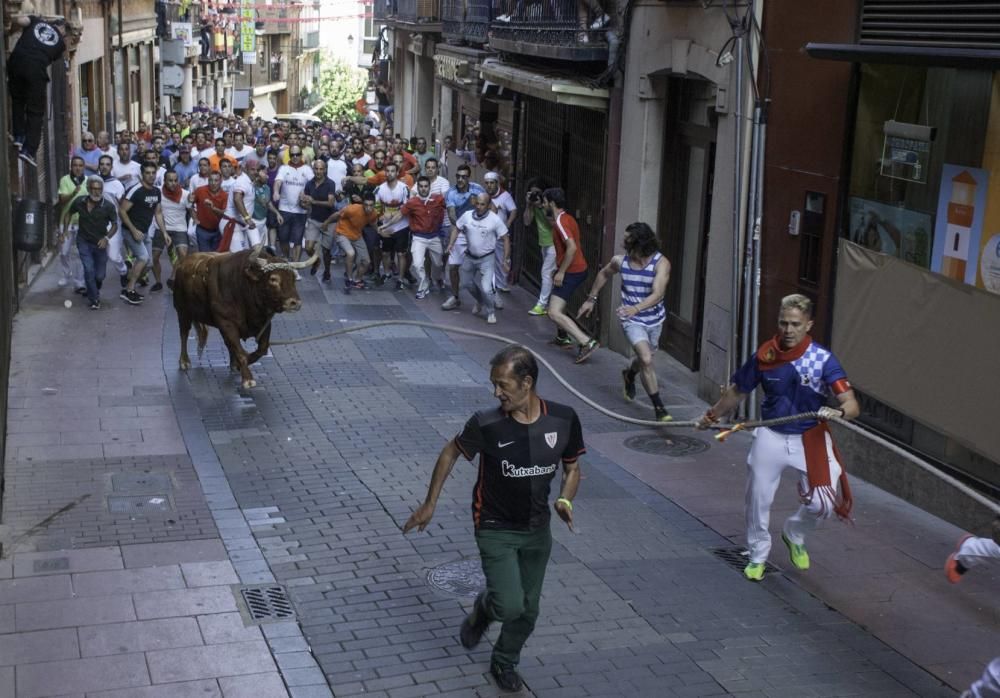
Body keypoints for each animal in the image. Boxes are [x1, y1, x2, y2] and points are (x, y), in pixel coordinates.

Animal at [168, 243, 316, 386]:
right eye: (273, 279)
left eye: (293, 278)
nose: (295, 302)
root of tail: (183, 264)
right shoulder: (226, 323)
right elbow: (240, 352)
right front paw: (247, 379)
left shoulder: (264, 323)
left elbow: (261, 349)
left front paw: (239, 365)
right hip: (182, 312)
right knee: (184, 334)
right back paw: (184, 361)